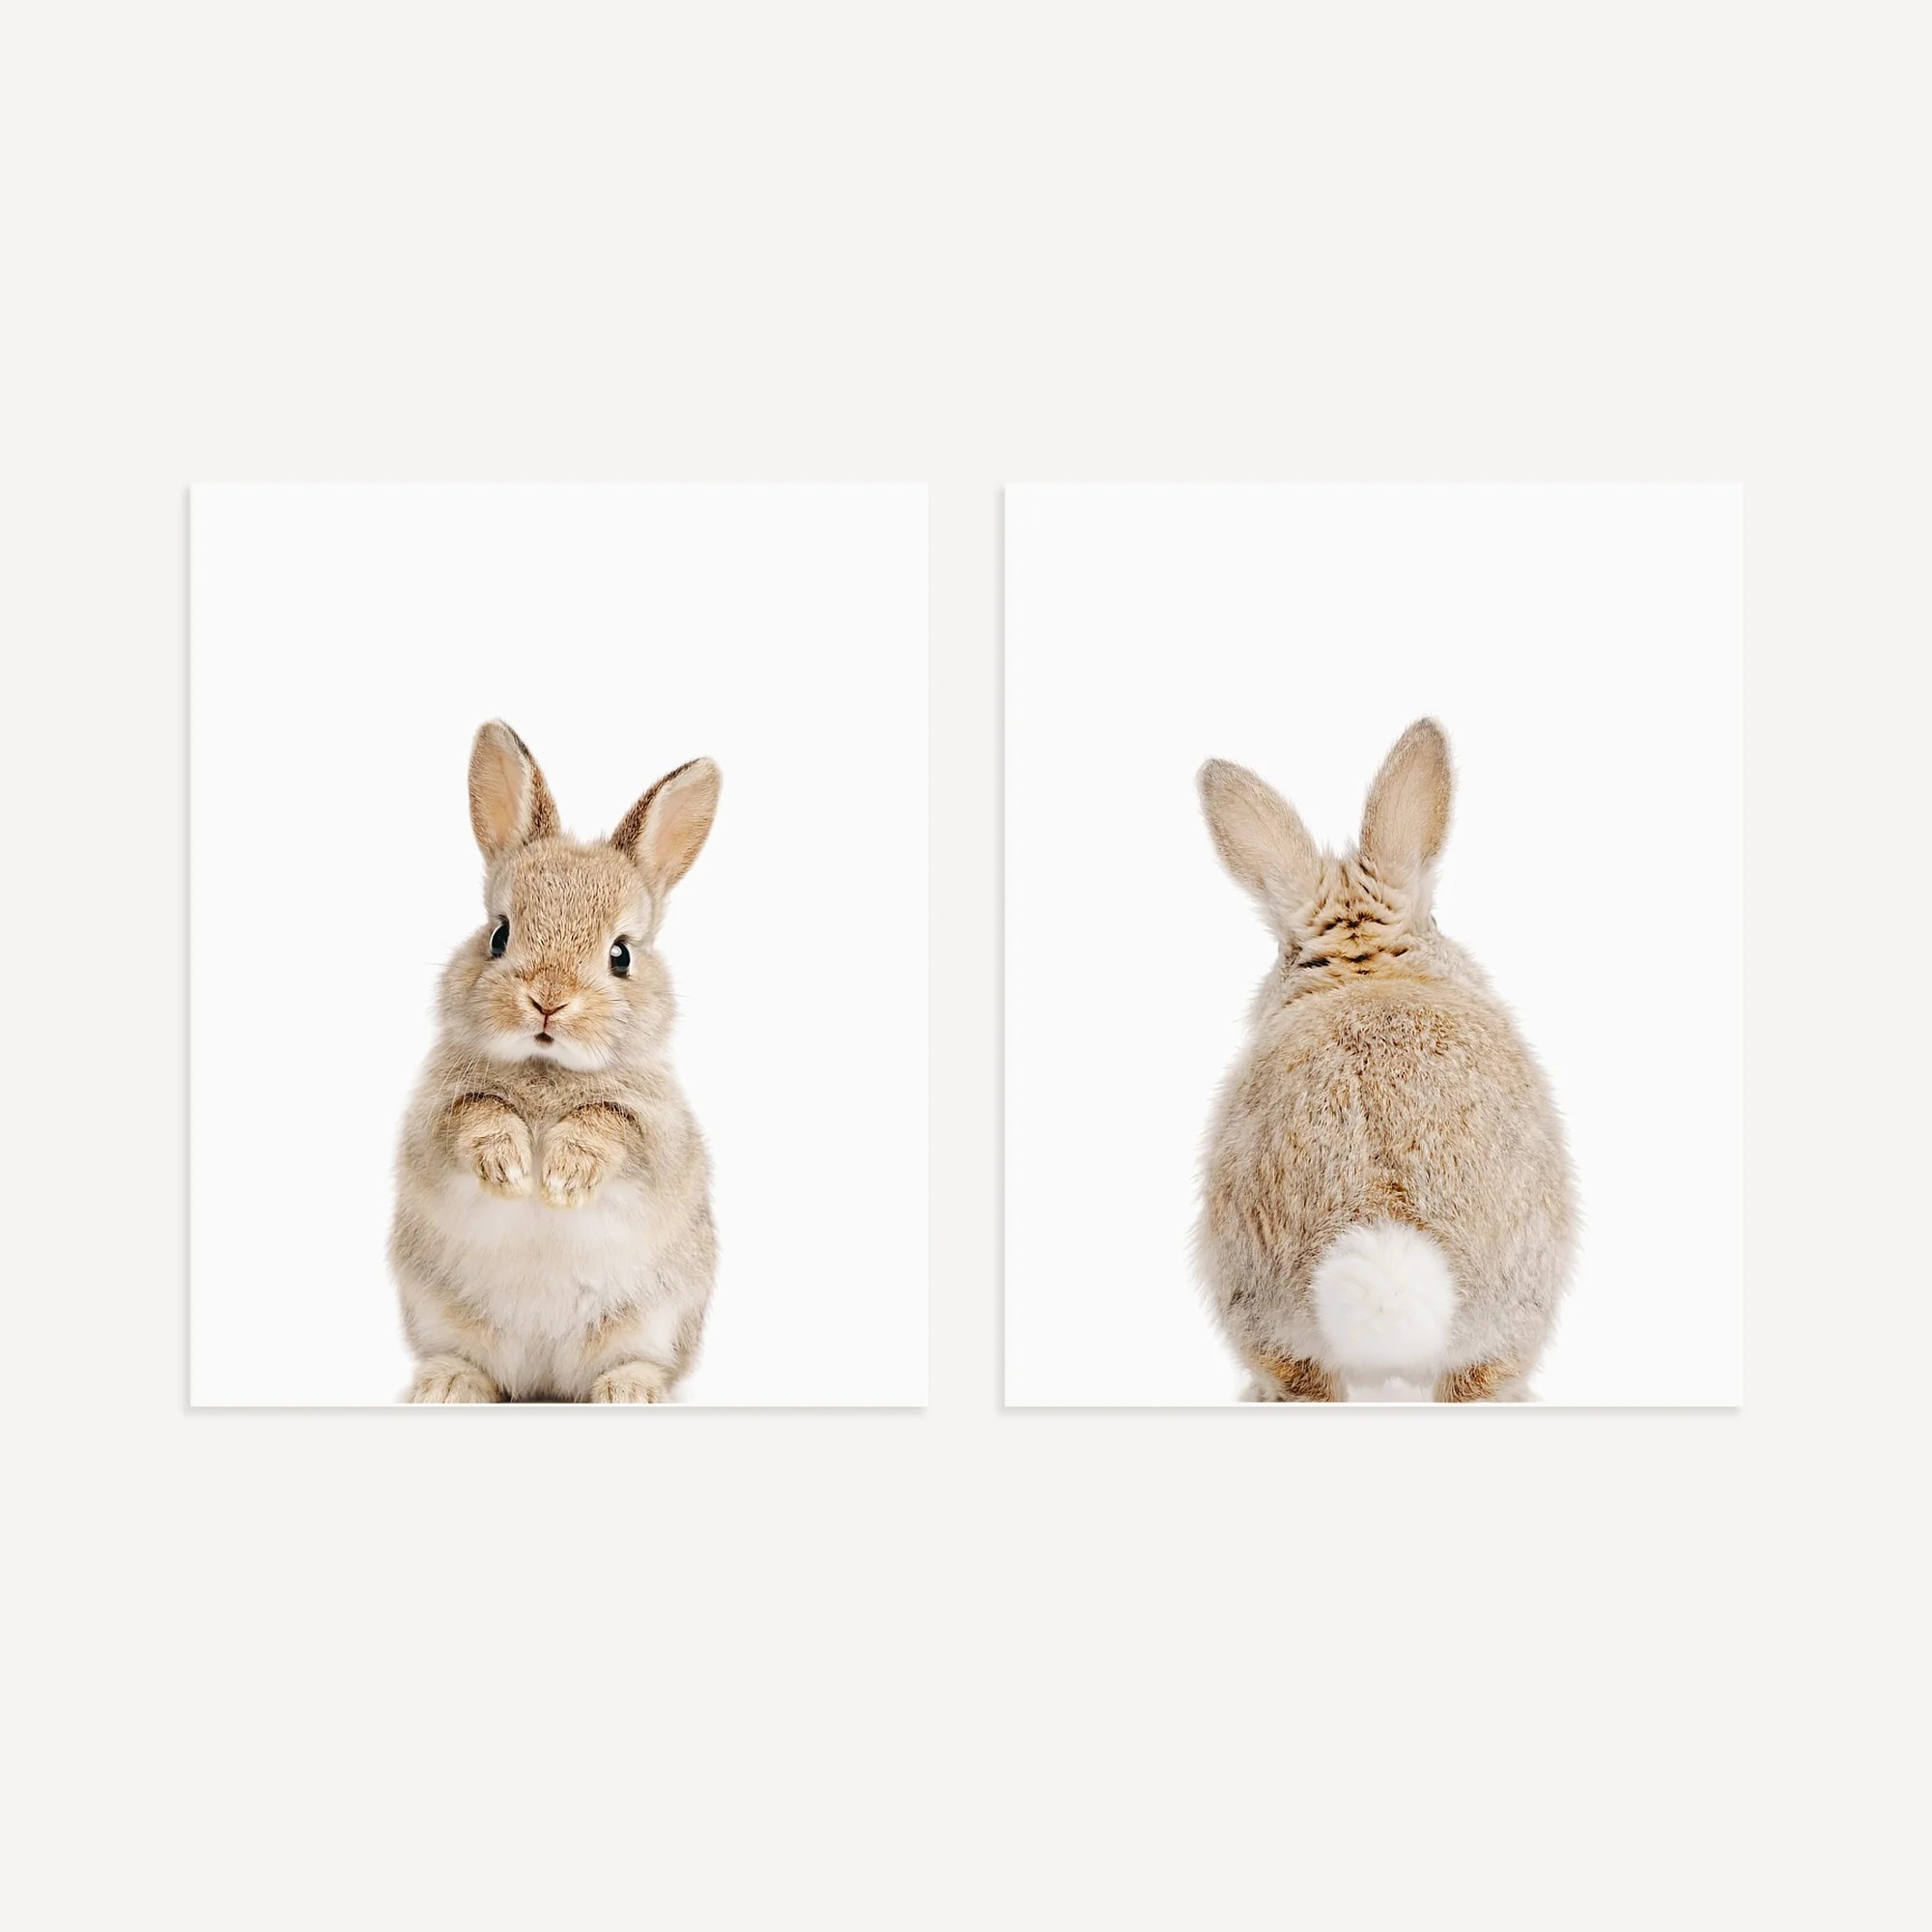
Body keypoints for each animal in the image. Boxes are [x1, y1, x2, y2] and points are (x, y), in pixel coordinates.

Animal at [389, 721, 720, 1403]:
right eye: (498, 935)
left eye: (621, 955)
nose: (548, 1000)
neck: (547, 1069)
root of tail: (544, 1378)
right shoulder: (434, 1119)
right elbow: (475, 1115)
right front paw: (511, 1169)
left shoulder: (656, 1132)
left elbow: (609, 1125)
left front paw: (562, 1179)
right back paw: (447, 1385)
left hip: (654, 1321)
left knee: (636, 1362)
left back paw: (631, 1392)